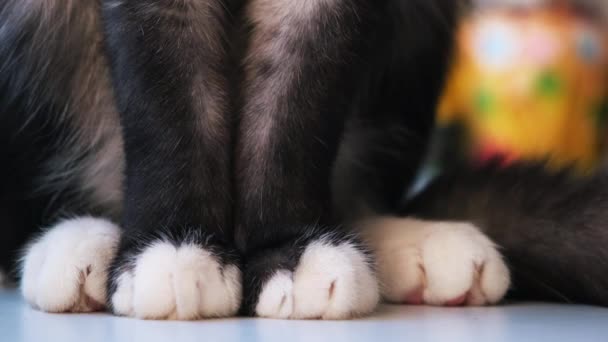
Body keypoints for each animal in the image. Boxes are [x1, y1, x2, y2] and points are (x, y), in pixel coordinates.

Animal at [0, 0, 604, 320]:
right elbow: (167, 102)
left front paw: (290, 249)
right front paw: (174, 245)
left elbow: (297, 107)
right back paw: (77, 245)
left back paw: (412, 243)